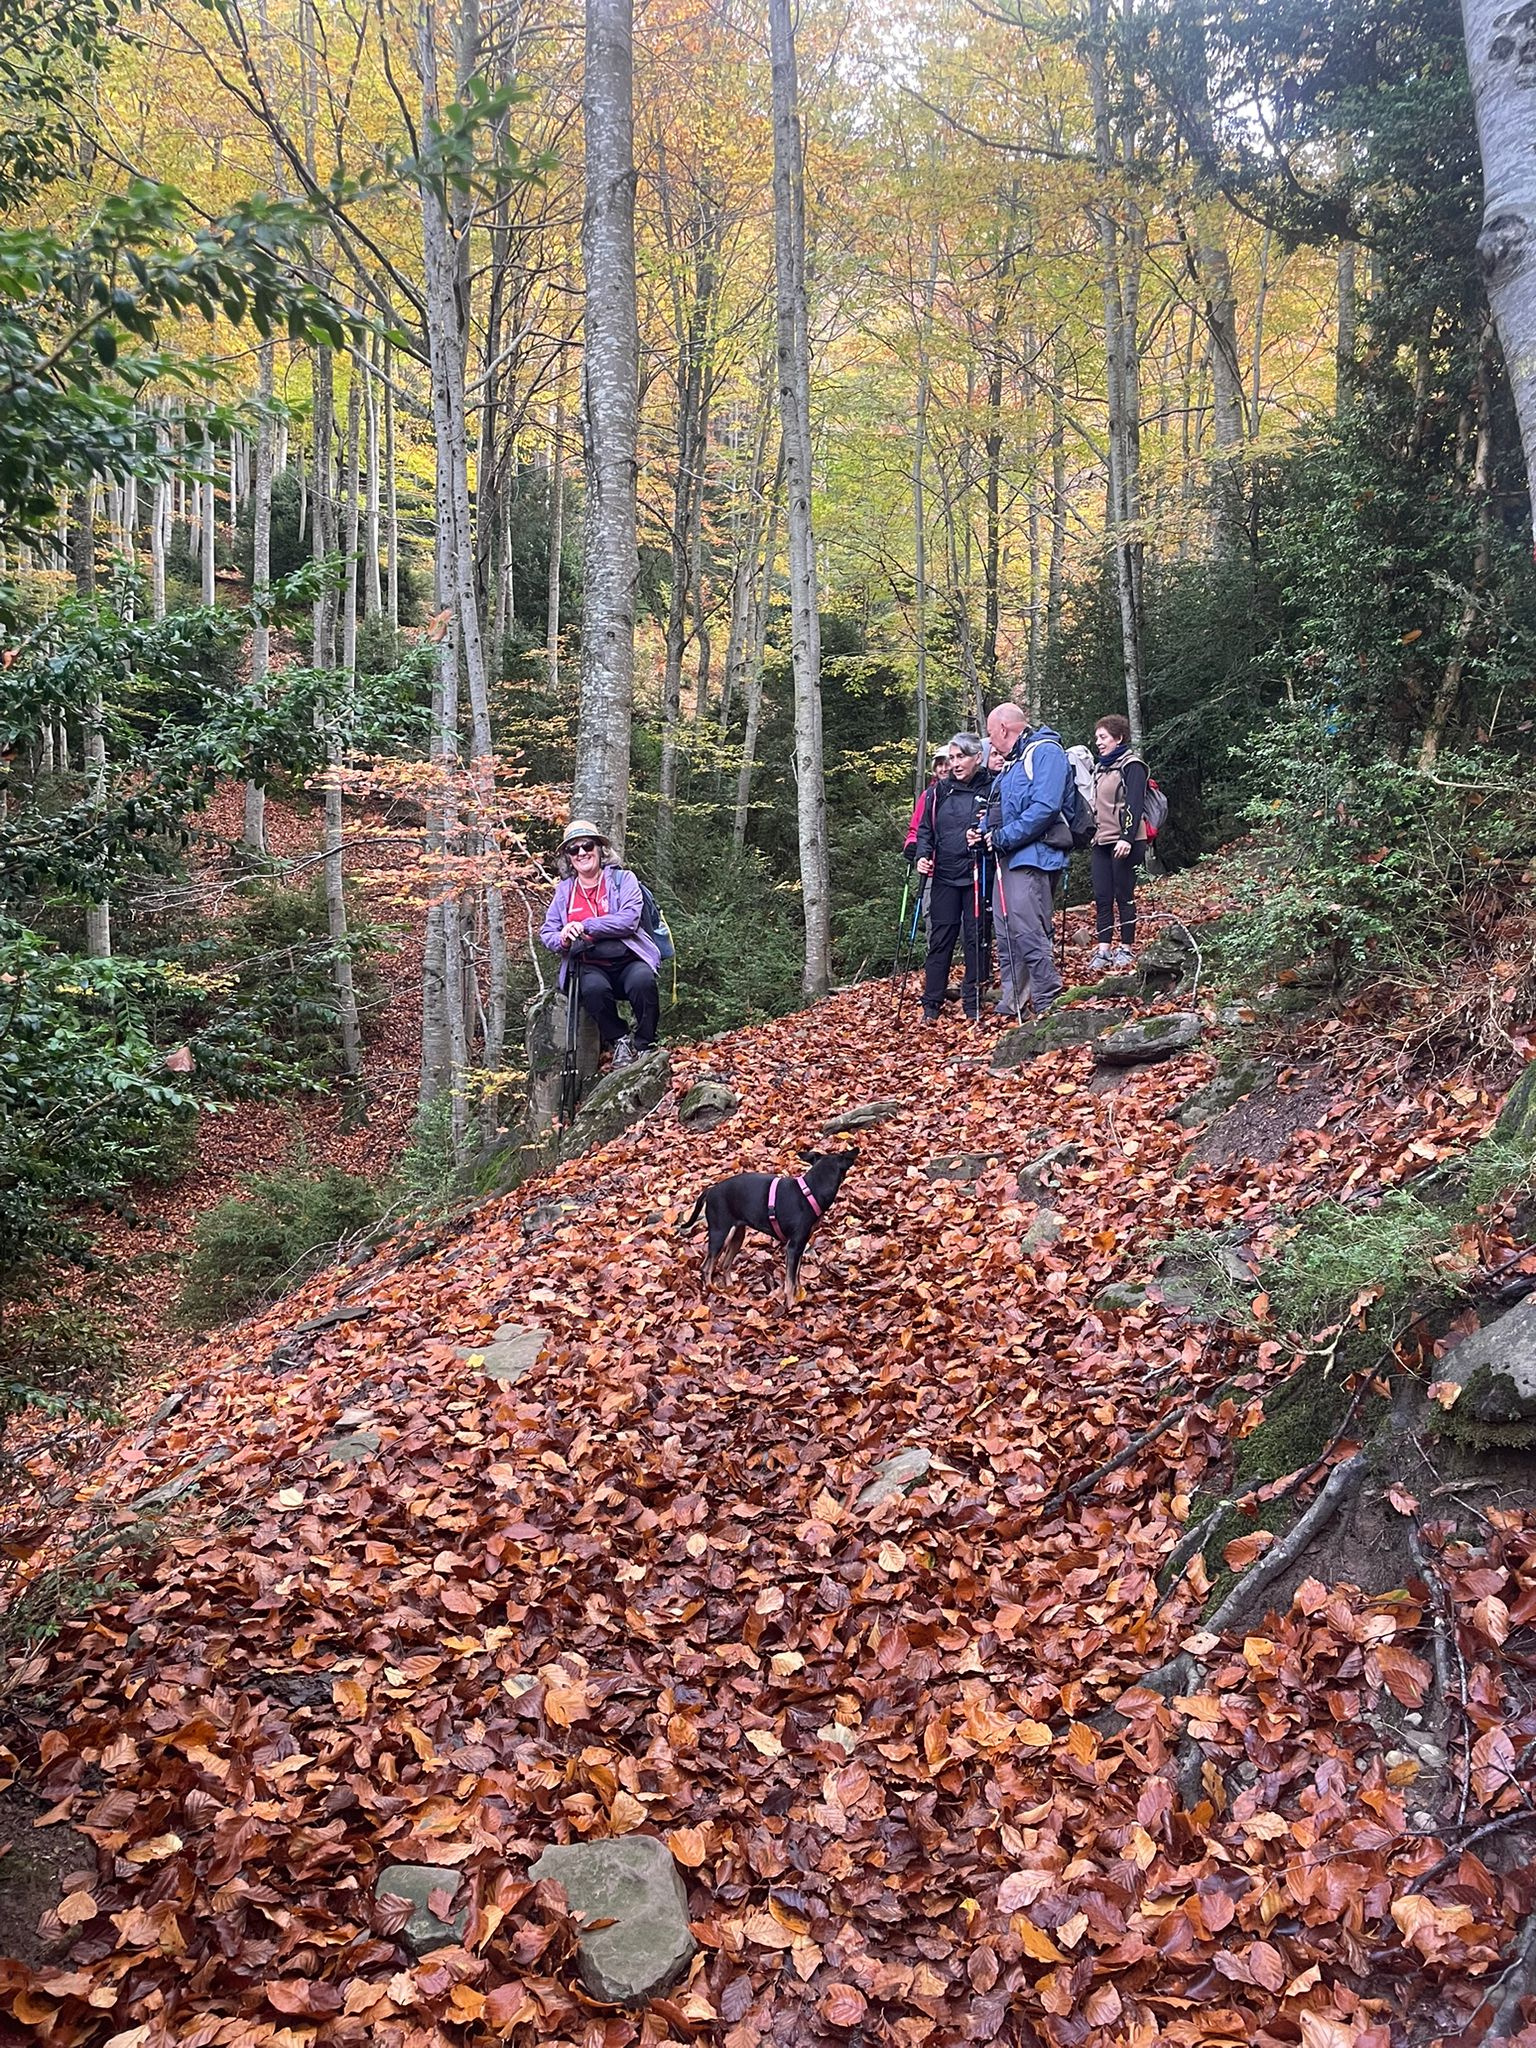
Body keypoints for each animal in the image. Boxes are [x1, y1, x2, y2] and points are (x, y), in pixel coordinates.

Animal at [682, 1148, 858, 1309]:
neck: (810, 1192)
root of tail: (710, 1190)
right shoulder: (793, 1247)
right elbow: (789, 1282)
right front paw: (791, 1306)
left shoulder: (800, 1246)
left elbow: (796, 1276)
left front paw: (800, 1296)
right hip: (721, 1234)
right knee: (706, 1267)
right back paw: (712, 1290)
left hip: (737, 1235)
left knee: (724, 1264)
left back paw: (730, 1290)